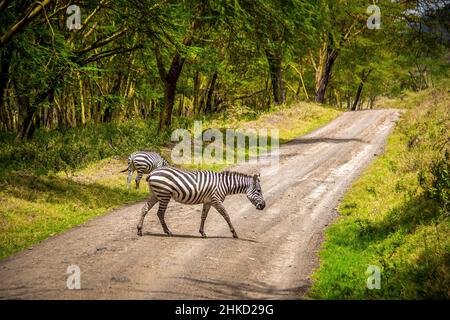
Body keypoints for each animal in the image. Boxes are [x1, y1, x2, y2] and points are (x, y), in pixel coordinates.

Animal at [135, 168, 266, 238]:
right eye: (259, 191)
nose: (264, 206)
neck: (225, 184)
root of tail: (152, 173)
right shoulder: (216, 200)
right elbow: (226, 215)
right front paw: (234, 233)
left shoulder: (208, 201)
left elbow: (203, 216)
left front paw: (202, 233)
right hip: (164, 194)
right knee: (160, 213)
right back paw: (168, 232)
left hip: (155, 194)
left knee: (144, 209)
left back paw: (139, 230)